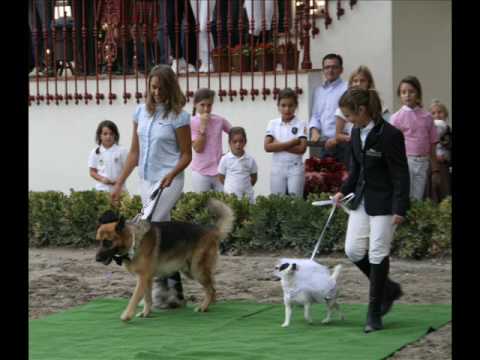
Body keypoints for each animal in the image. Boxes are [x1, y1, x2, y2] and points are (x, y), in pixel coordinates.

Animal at [95, 200, 234, 320]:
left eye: (108, 242)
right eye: (98, 241)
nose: (97, 259)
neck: (134, 239)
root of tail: (212, 231)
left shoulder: (142, 279)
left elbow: (134, 298)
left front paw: (127, 315)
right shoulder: (146, 279)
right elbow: (147, 298)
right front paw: (146, 313)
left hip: (196, 270)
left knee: (211, 289)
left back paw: (203, 307)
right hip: (191, 270)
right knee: (212, 286)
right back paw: (209, 305)